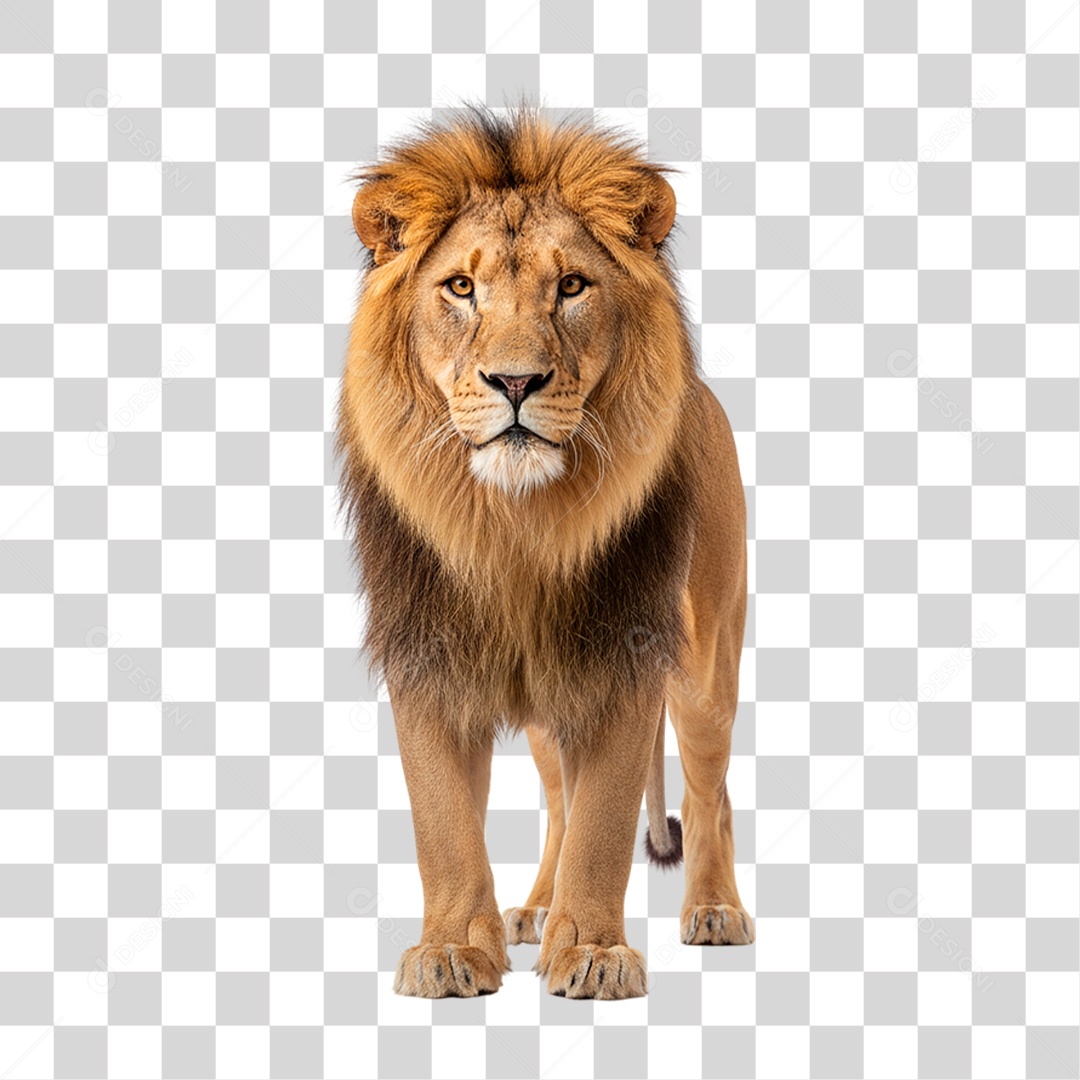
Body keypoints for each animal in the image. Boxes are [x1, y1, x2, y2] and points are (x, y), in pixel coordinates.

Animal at [337, 105, 752, 1000]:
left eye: (571, 287)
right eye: (461, 288)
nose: (516, 382)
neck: (515, 527)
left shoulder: (625, 653)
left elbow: (605, 820)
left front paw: (592, 953)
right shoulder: (428, 651)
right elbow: (445, 823)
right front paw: (453, 949)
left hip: (706, 663)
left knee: (710, 791)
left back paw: (713, 909)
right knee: (559, 799)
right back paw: (532, 908)